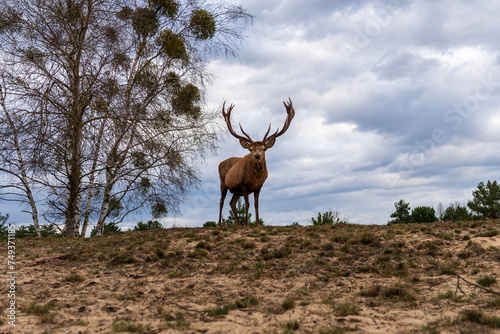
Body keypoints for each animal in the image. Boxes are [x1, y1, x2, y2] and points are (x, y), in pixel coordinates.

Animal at [218, 97, 294, 227]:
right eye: (251, 149)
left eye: (263, 148)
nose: (257, 155)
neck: (255, 179)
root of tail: (220, 163)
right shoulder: (243, 185)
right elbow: (247, 205)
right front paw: (247, 225)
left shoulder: (259, 187)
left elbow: (256, 204)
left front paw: (257, 224)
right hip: (223, 183)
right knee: (221, 202)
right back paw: (219, 224)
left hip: (236, 191)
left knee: (232, 203)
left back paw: (238, 225)